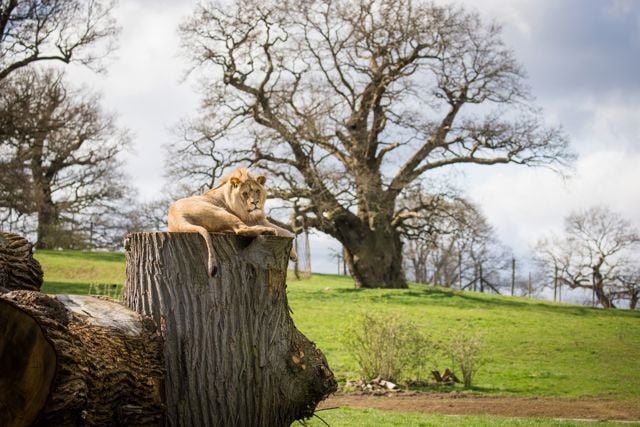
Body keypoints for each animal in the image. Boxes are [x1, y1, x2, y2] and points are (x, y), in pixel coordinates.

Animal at [165, 168, 296, 278]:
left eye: (257, 191)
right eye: (245, 193)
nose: (255, 203)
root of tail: (175, 218)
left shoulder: (260, 219)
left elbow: (286, 231)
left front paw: (293, 255)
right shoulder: (250, 220)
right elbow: (284, 231)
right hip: (220, 212)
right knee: (241, 229)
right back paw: (267, 231)